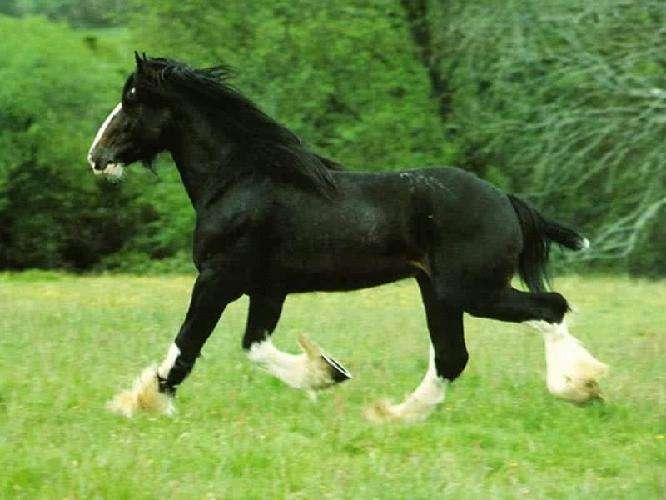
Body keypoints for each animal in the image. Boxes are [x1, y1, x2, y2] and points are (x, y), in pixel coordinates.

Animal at [88, 54, 608, 420]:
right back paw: (393, 416)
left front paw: (142, 402)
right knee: (452, 357)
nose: (97, 156)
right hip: (439, 293)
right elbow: (255, 347)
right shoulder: (267, 288)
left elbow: (186, 345)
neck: (242, 179)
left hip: (472, 291)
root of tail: (505, 199)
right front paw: (327, 372)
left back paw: (580, 386)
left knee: (550, 308)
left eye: (132, 99)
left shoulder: (218, 278)